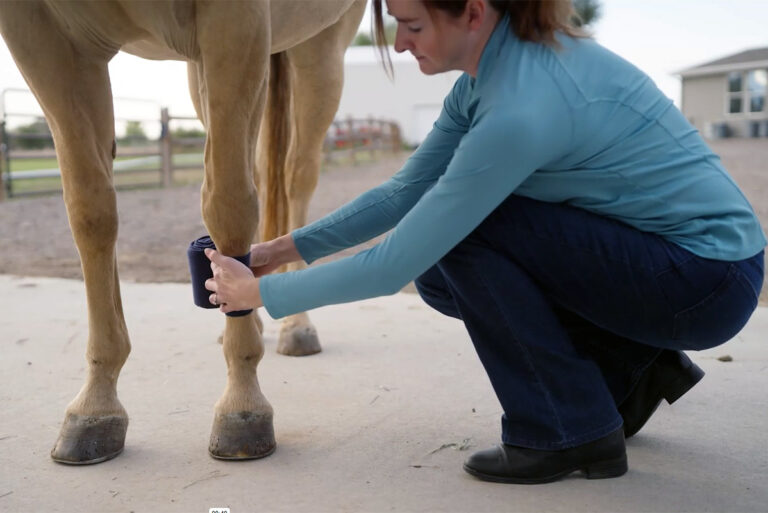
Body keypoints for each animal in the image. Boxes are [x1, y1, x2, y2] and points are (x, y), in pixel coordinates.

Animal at [0, 0, 366, 462]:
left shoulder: (236, 22)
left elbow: (228, 206)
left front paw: (242, 406)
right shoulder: (47, 37)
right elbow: (90, 211)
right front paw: (95, 408)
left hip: (318, 49)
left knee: (295, 175)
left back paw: (296, 326)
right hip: (206, 67)